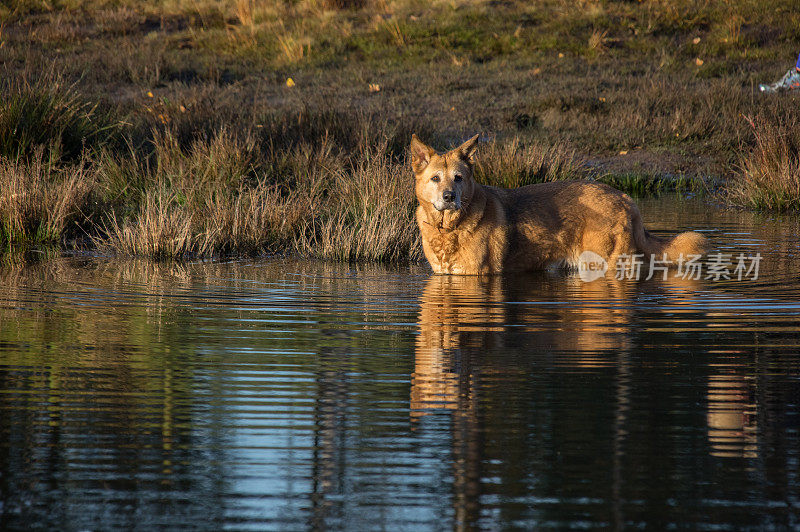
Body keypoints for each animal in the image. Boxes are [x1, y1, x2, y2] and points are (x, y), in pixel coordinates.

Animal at [412, 133, 708, 276]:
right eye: (435, 178)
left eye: (458, 178)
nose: (449, 197)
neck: (448, 229)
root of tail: (624, 198)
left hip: (602, 264)